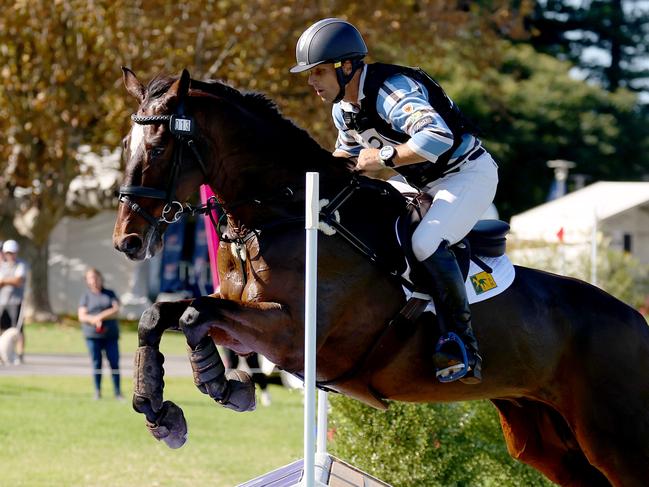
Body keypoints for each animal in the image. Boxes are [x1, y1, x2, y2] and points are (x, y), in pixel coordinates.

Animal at [112, 69, 648, 487]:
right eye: (125, 146)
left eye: (158, 147)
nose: (127, 241)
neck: (279, 213)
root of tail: (638, 323)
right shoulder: (243, 314)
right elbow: (164, 314)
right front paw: (166, 407)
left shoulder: (290, 333)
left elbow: (195, 315)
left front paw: (218, 386)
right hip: (547, 440)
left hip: (615, 442)